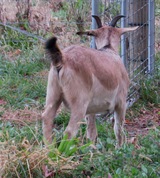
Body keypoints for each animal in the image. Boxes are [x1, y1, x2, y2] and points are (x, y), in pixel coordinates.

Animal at [42, 14, 139, 146]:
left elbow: (91, 132)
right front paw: (120, 148)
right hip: (79, 104)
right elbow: (118, 129)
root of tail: (62, 59)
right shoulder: (121, 102)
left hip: (53, 95)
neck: (109, 50)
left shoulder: (91, 110)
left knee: (47, 118)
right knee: (69, 131)